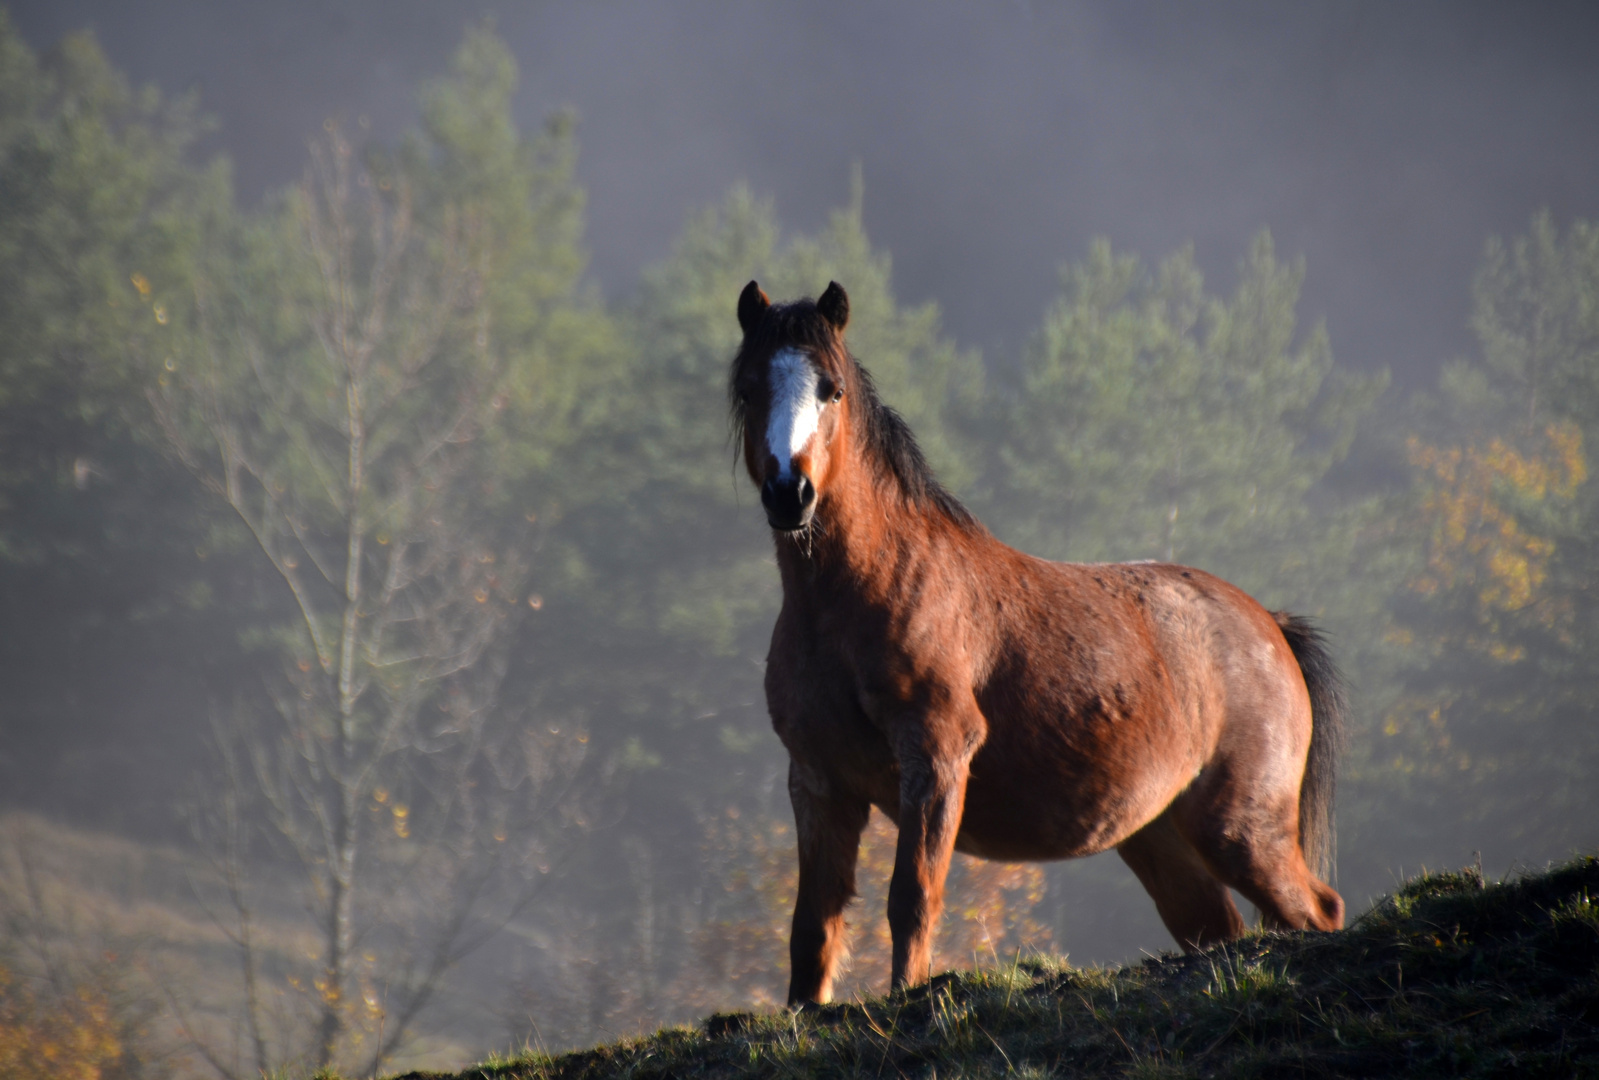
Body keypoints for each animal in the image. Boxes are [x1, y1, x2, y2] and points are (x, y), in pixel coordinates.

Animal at [732, 278, 1343, 1004]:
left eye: (832, 390)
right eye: (747, 389)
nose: (788, 493)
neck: (859, 596)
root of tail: (1268, 625)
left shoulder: (936, 755)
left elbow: (911, 897)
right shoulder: (819, 779)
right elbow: (812, 929)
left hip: (1242, 829)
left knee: (1318, 910)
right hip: (1162, 840)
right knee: (1220, 927)